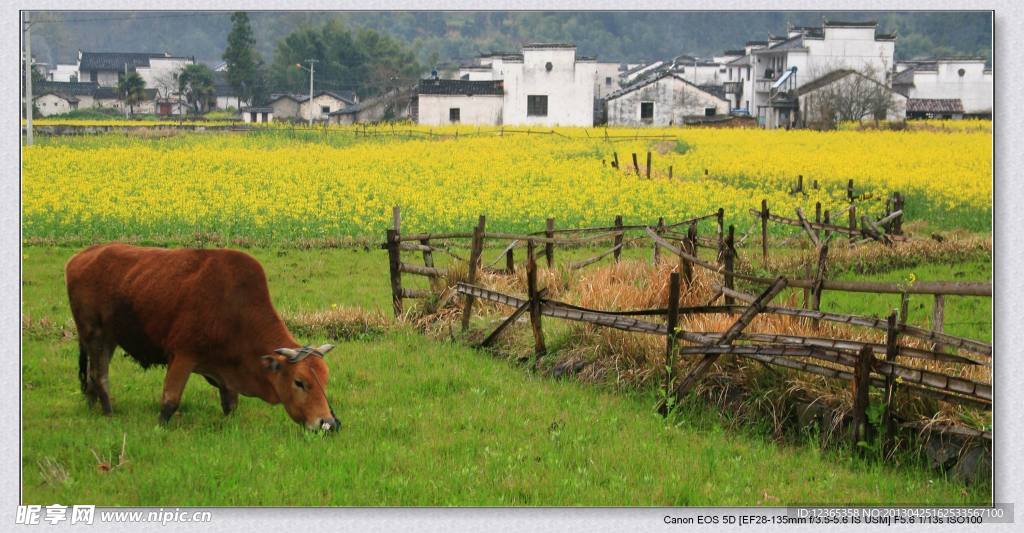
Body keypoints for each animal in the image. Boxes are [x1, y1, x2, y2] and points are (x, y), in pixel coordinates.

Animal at [66, 243, 342, 429]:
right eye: (299, 382)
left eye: (324, 380)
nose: (328, 423)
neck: (234, 308)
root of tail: (80, 256)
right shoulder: (182, 356)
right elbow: (170, 401)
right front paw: (160, 428)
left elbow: (230, 403)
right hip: (95, 335)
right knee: (99, 376)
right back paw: (108, 414)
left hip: (109, 339)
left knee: (91, 378)